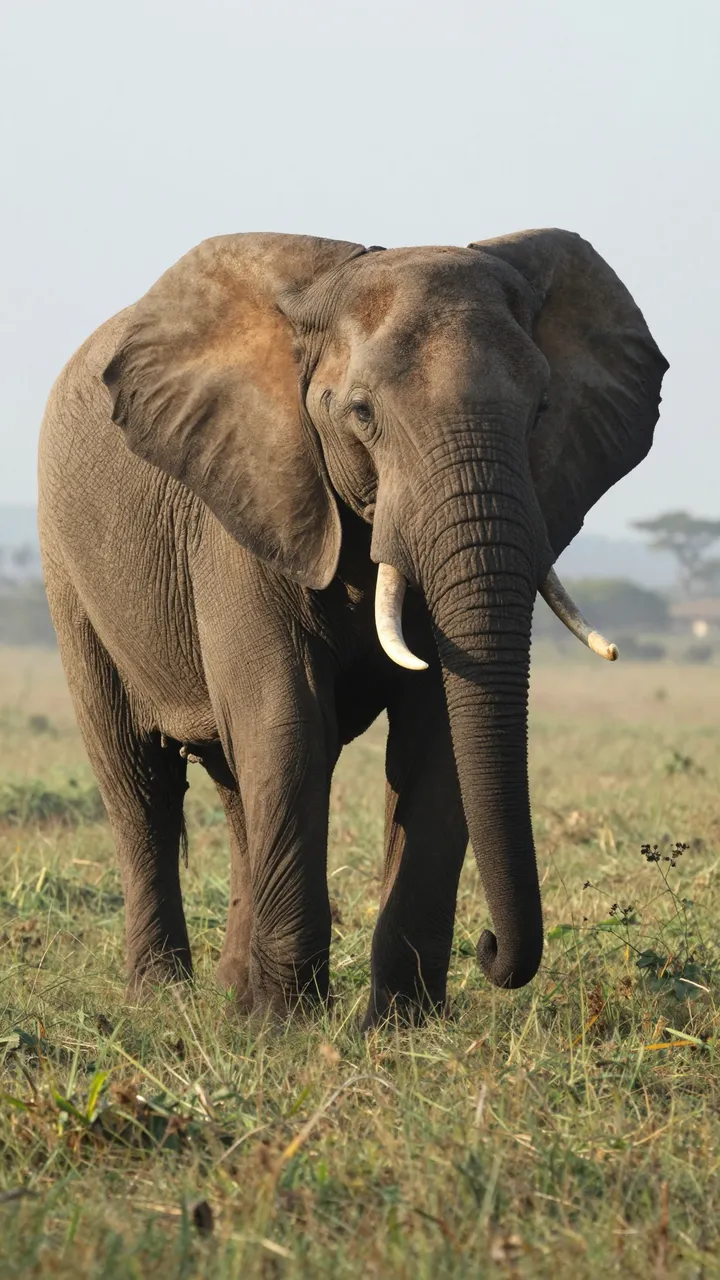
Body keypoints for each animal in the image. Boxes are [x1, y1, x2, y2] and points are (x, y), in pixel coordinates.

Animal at [38, 229, 667, 1026]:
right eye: (362, 413)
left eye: (542, 409)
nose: (491, 947)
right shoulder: (250, 498)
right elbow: (288, 722)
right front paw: (287, 1027)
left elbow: (436, 738)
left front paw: (397, 1025)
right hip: (70, 571)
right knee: (139, 781)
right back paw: (165, 1001)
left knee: (236, 785)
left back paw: (232, 996)